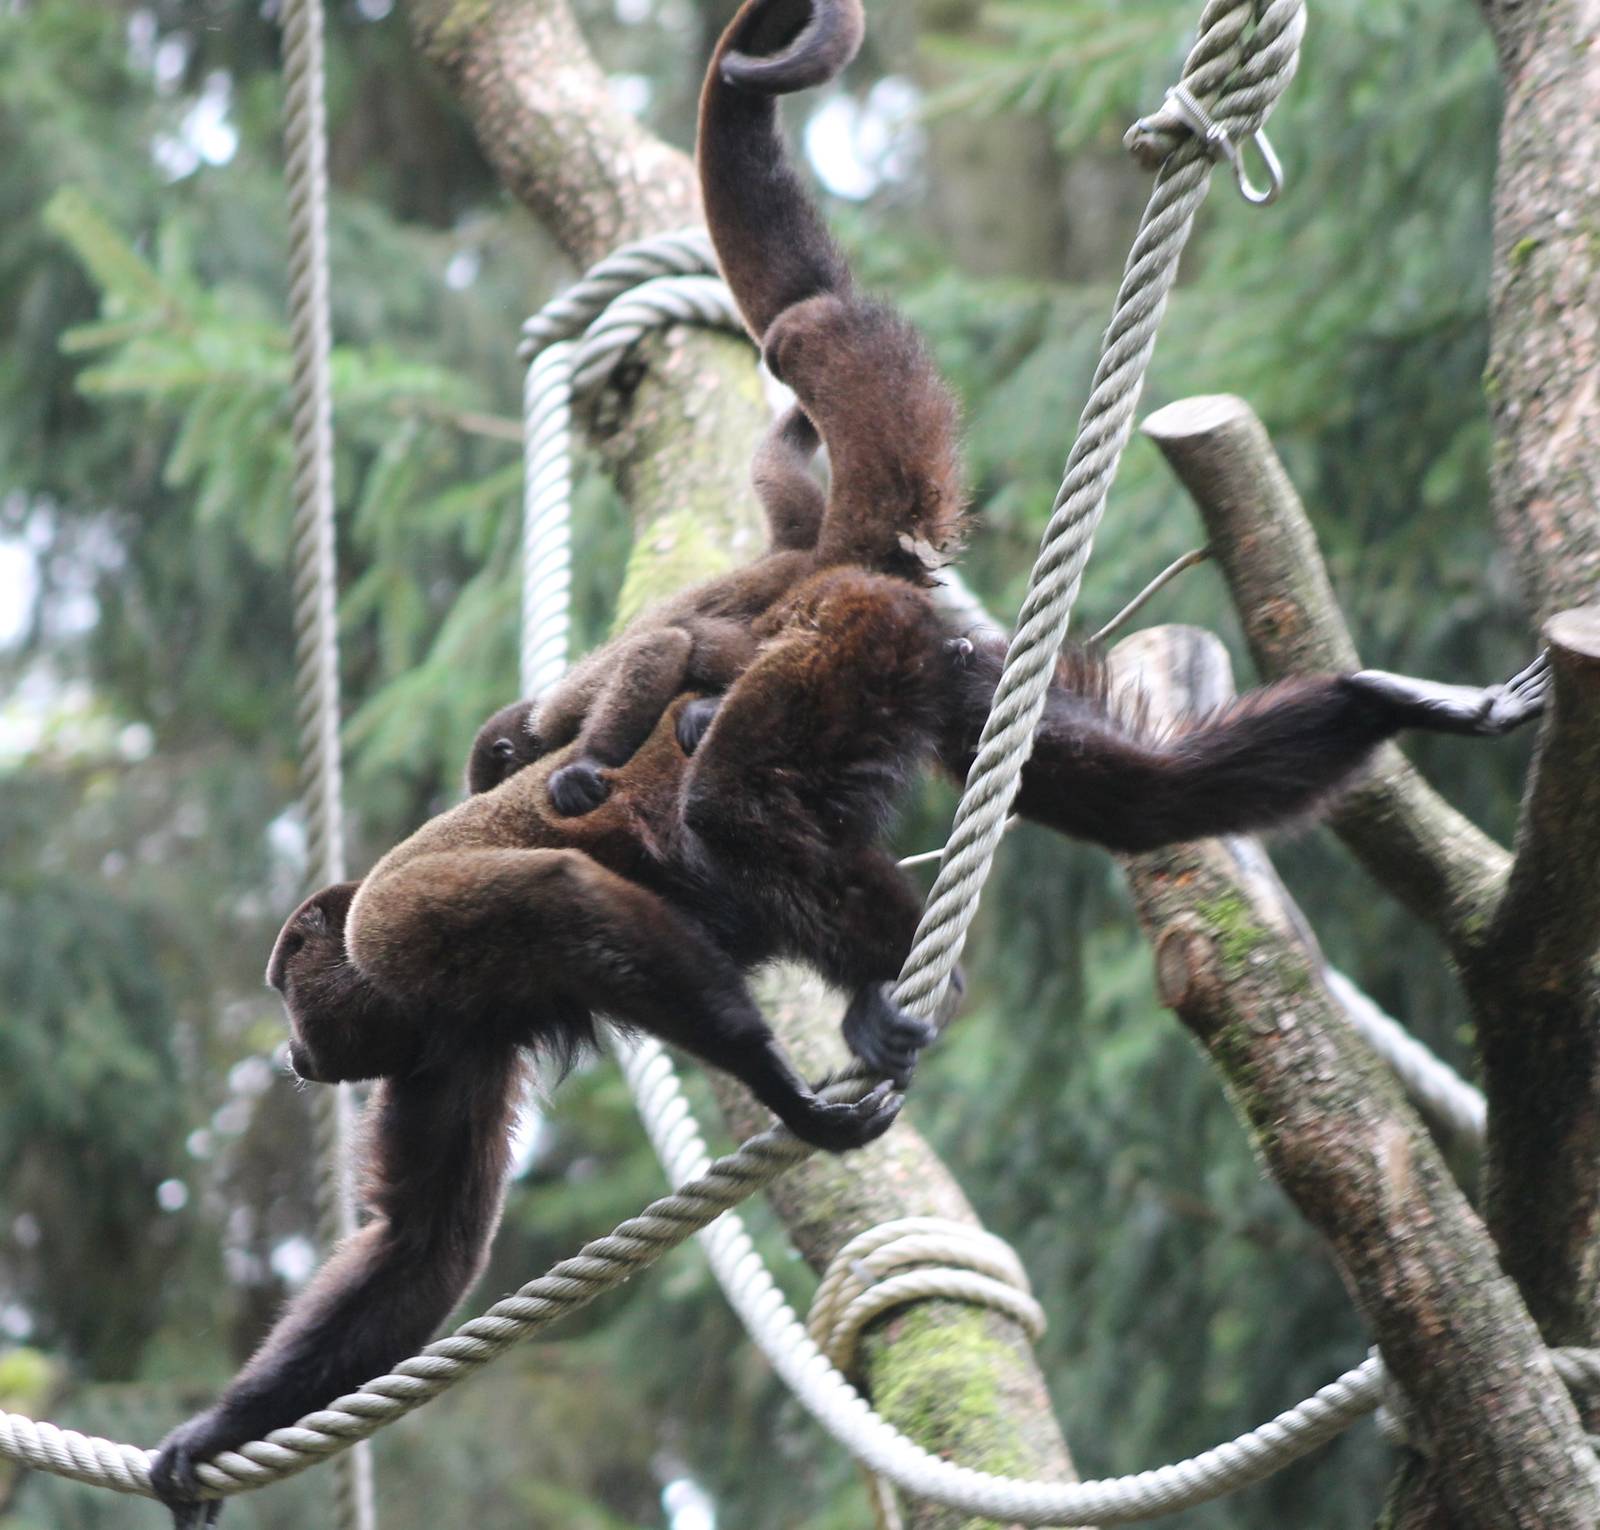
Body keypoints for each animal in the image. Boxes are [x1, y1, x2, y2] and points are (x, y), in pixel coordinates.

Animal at [150, 0, 1549, 1517]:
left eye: (290, 987)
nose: (294, 1052)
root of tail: (840, 569)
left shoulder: (408, 935)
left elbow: (579, 903)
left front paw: (777, 1086)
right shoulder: (439, 1033)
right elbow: (419, 1248)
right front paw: (207, 1437)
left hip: (843, 649)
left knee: (732, 807)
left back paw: (873, 978)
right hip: (933, 662)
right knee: (1126, 796)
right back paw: (1371, 707)